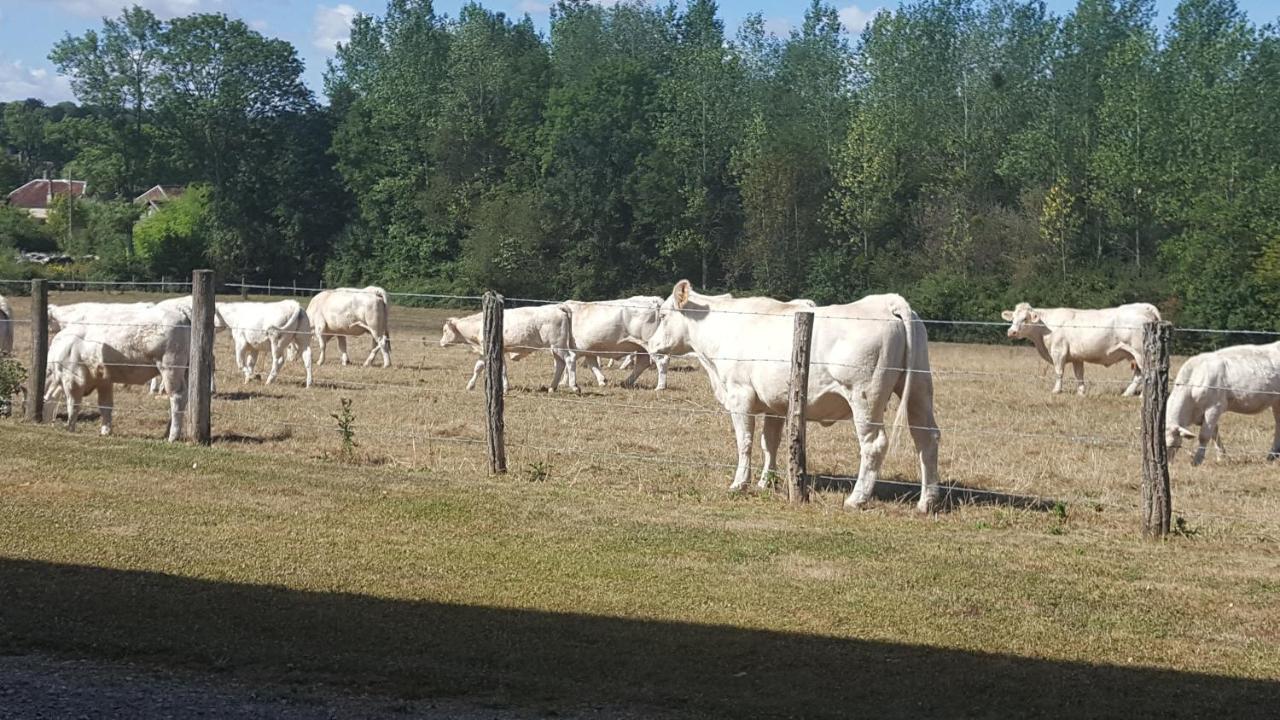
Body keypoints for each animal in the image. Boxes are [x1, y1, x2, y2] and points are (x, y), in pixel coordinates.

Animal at [440, 302, 581, 392]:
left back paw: (574, 386)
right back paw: (552, 387)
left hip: (558, 345)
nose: (441, 343)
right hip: (554, 348)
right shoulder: (486, 351)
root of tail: (557, 307)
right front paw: (470, 385)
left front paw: (505, 388)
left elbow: (501, 369)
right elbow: (478, 367)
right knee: (560, 364)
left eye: (445, 330)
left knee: (569, 359)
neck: (479, 326)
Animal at [650, 280, 942, 509]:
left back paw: (856, 499)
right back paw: (926, 502)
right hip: (919, 388)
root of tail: (887, 302)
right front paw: (765, 482)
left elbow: (745, 442)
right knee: (926, 438)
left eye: (662, 316)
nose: (651, 345)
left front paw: (739, 483)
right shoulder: (774, 404)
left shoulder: (740, 396)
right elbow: (770, 443)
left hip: (865, 397)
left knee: (874, 444)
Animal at [998, 299, 1162, 394]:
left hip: (1140, 353)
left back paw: (1142, 396)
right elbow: (1079, 375)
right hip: (1131, 354)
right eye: (1012, 318)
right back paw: (1127, 393)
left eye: (1025, 318)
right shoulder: (1077, 356)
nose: (1011, 332)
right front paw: (1081, 392)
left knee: (1147, 373)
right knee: (1138, 375)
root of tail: (1143, 307)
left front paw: (1056, 390)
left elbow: (1059, 371)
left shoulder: (1058, 351)